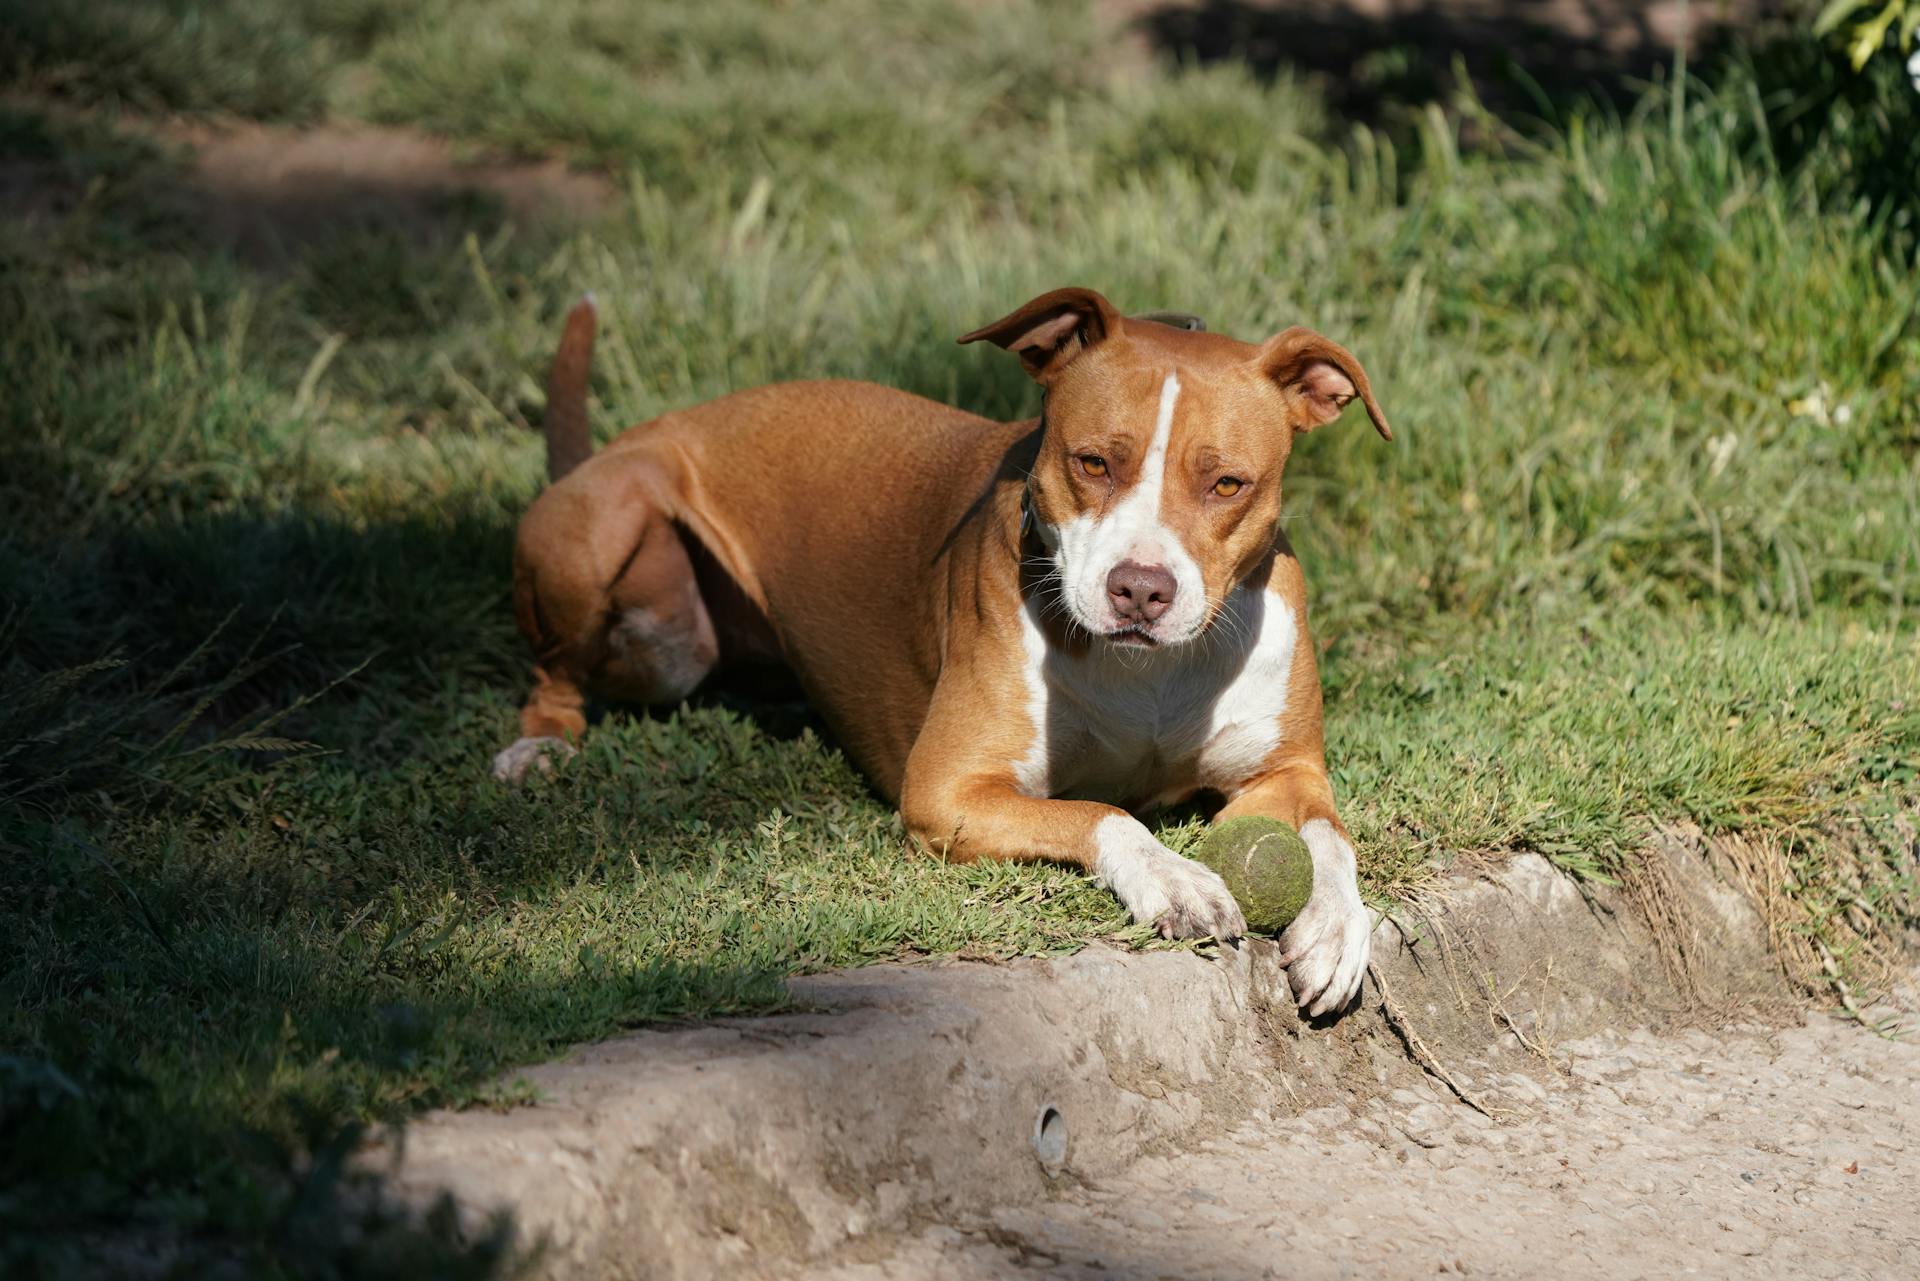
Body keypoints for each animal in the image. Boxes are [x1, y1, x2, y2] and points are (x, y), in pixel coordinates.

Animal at [495, 286, 1397, 1014]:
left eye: (1227, 484)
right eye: (1092, 462)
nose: (1140, 589)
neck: (1150, 671)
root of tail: (624, 439)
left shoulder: (1288, 767)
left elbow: (1330, 837)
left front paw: (1338, 925)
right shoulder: (947, 789)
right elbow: (1098, 810)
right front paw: (1174, 876)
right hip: (611, 557)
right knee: (554, 674)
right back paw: (536, 748)